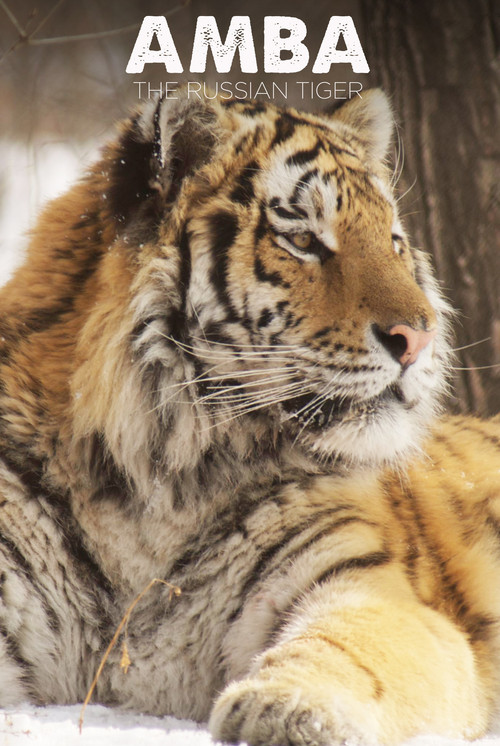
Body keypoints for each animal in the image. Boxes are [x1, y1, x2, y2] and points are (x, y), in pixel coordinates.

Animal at [0, 86, 499, 746]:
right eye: (304, 240)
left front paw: (287, 709)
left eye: (392, 239)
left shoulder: (368, 583)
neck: (155, 484)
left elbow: (346, 646)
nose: (420, 337)